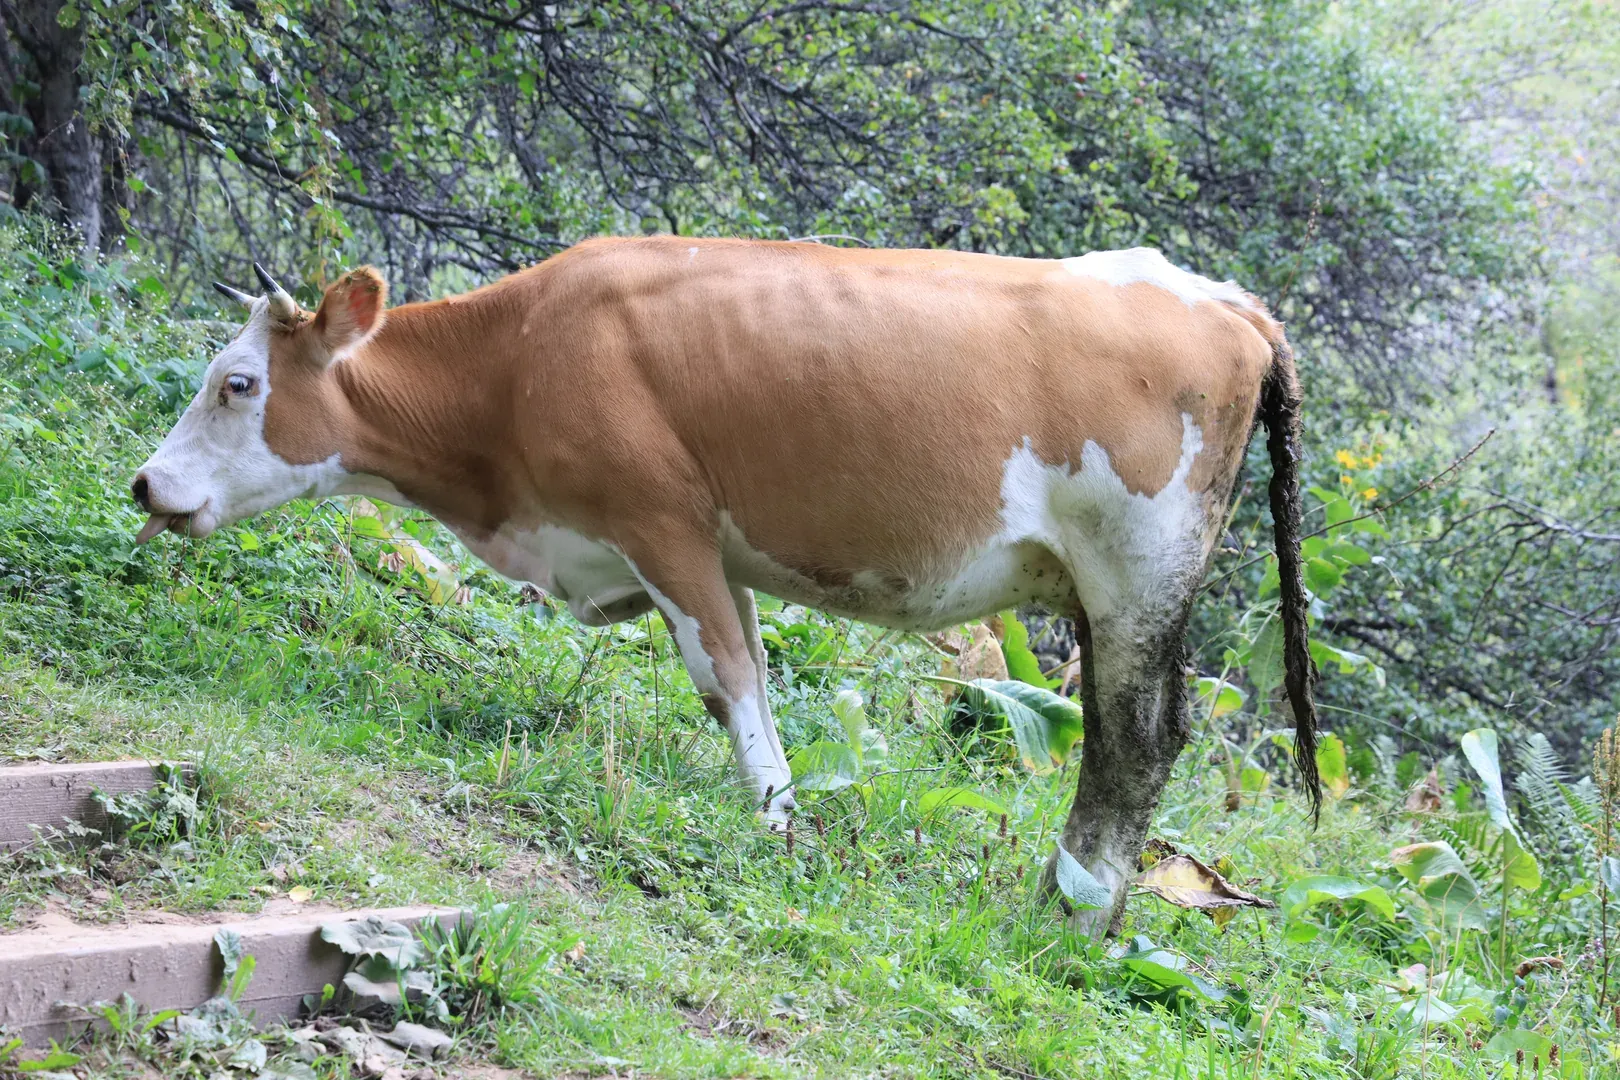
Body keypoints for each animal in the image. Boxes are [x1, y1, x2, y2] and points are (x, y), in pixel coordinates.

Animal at [131, 237, 1319, 935]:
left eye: (238, 384)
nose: (146, 482)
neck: (522, 355)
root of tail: (1223, 300)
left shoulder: (663, 526)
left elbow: (728, 678)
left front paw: (776, 832)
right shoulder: (716, 555)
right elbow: (745, 675)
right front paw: (785, 814)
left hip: (1137, 574)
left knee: (1136, 738)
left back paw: (1069, 911)